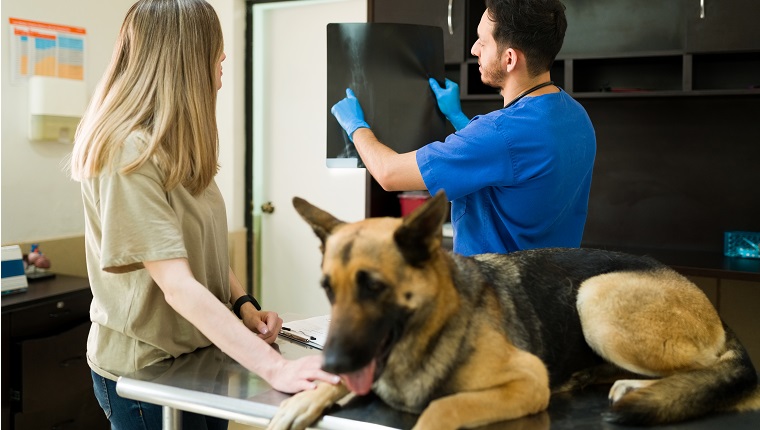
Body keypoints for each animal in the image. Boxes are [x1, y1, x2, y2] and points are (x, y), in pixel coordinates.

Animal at [270, 191, 760, 430]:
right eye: (328, 289)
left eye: (374, 287)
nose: (330, 361)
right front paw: (309, 396)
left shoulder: (527, 382)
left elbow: (442, 409)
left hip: (595, 298)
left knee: (717, 370)